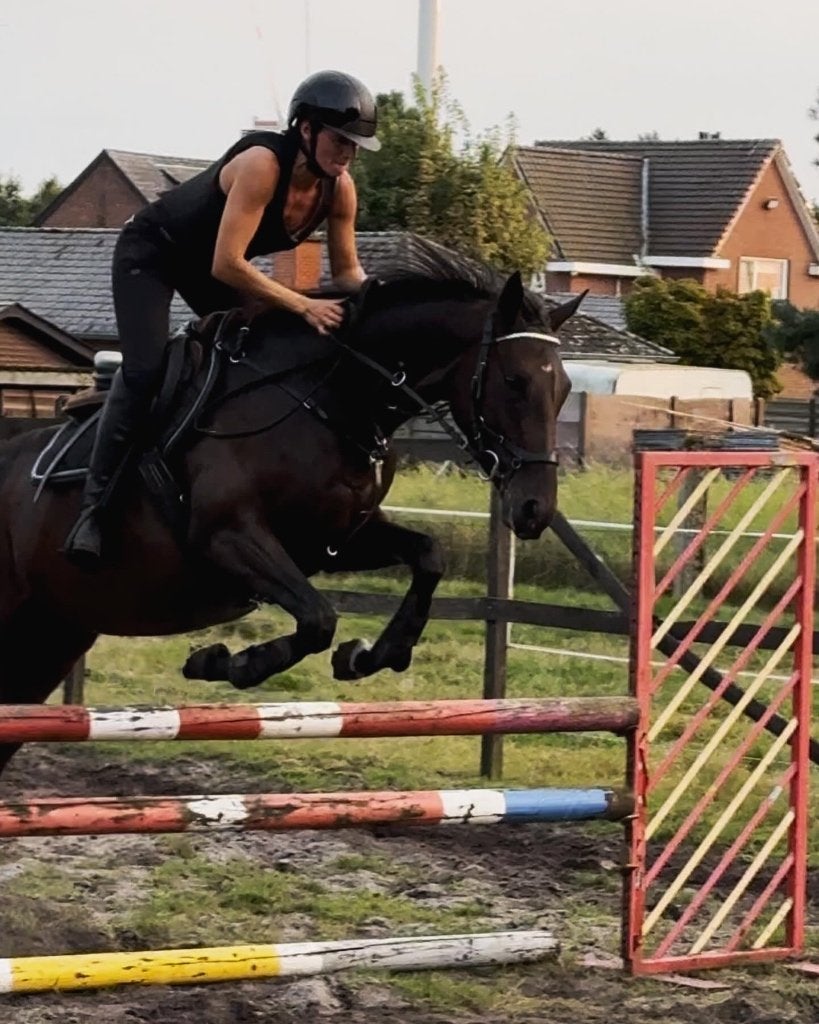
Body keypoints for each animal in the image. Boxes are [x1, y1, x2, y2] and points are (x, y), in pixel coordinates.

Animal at [0, 238, 578, 775]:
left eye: (566, 387)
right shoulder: (227, 537)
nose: (534, 509)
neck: (332, 398)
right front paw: (228, 662)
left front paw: (372, 655)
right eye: (514, 381)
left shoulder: (335, 542)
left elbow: (427, 555)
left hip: (53, 634)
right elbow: (318, 618)